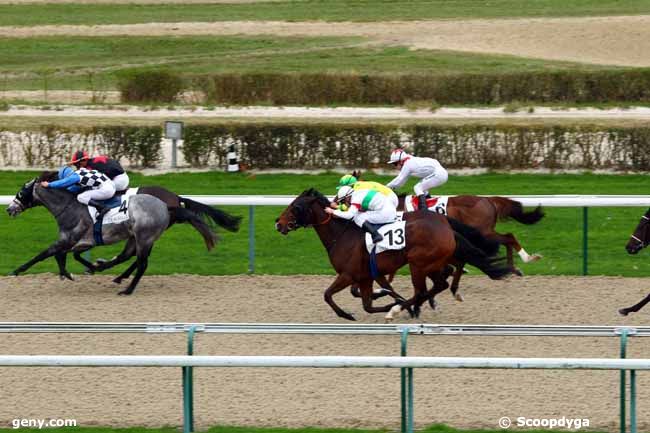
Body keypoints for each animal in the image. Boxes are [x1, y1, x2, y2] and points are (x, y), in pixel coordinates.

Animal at [8, 172, 175, 294]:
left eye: (21, 193)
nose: (9, 209)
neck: (70, 208)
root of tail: (165, 206)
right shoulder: (82, 242)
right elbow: (65, 255)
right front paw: (74, 272)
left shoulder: (68, 240)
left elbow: (44, 254)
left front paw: (16, 271)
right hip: (135, 237)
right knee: (128, 256)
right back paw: (112, 273)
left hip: (144, 238)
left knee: (142, 264)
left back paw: (127, 290)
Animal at [274, 187, 512, 318]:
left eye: (295, 207)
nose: (278, 223)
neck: (342, 235)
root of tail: (445, 224)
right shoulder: (366, 276)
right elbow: (368, 304)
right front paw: (387, 297)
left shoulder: (348, 274)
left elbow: (328, 295)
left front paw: (348, 314)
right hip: (431, 264)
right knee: (440, 283)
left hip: (418, 264)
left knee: (423, 289)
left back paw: (402, 309)